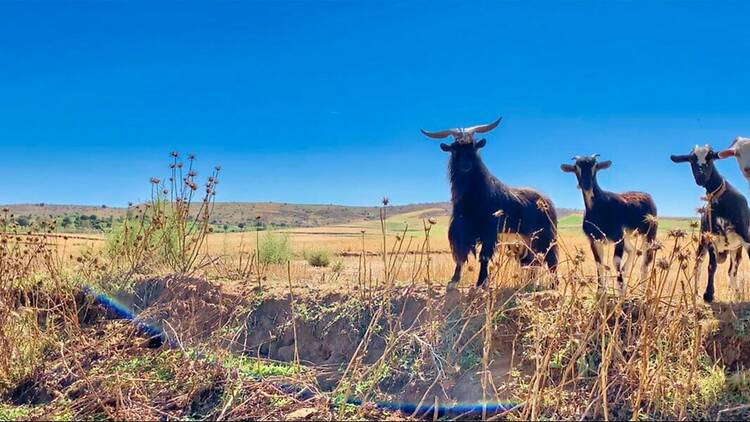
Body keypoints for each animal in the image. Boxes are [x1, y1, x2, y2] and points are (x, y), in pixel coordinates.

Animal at [424, 118, 560, 290]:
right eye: (454, 149)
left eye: (474, 146)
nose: (466, 165)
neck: (473, 198)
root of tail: (547, 201)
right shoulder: (462, 231)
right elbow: (461, 256)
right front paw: (453, 282)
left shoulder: (489, 232)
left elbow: (484, 256)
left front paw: (481, 283)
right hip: (524, 242)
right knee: (532, 261)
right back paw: (529, 285)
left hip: (545, 236)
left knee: (551, 259)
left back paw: (553, 285)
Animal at [564, 155, 656, 296]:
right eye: (575, 167)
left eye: (595, 166)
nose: (586, 185)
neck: (600, 208)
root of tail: (648, 196)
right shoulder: (594, 239)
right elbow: (599, 263)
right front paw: (600, 291)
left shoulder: (618, 237)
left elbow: (615, 261)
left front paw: (620, 292)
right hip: (627, 235)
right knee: (633, 250)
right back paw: (626, 271)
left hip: (649, 233)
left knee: (646, 261)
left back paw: (642, 291)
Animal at [668, 146, 750, 304]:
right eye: (691, 159)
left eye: (711, 157)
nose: (700, 177)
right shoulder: (711, 238)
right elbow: (711, 266)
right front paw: (708, 294)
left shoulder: (746, 237)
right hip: (703, 242)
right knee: (698, 265)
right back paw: (695, 292)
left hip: (735, 248)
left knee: (733, 268)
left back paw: (735, 292)